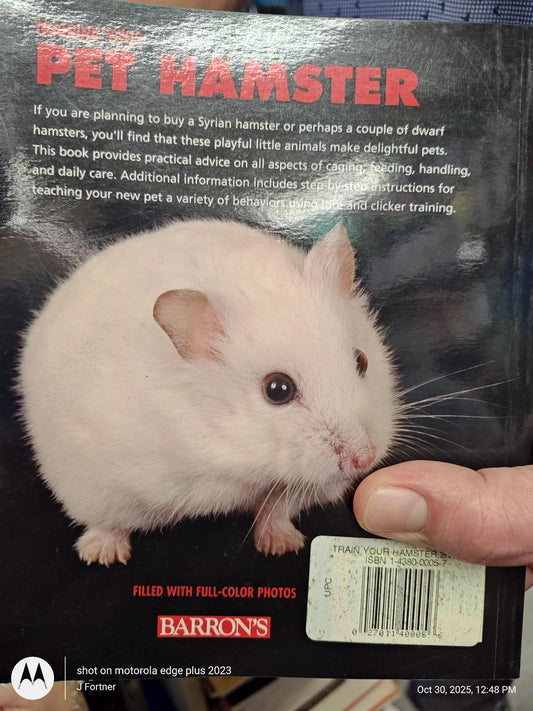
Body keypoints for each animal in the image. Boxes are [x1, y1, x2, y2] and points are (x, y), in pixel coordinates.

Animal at [18, 220, 399, 565]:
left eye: (361, 361)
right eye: (278, 390)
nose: (364, 458)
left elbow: (277, 509)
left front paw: (282, 545)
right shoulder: (97, 476)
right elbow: (107, 518)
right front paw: (102, 556)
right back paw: (103, 554)